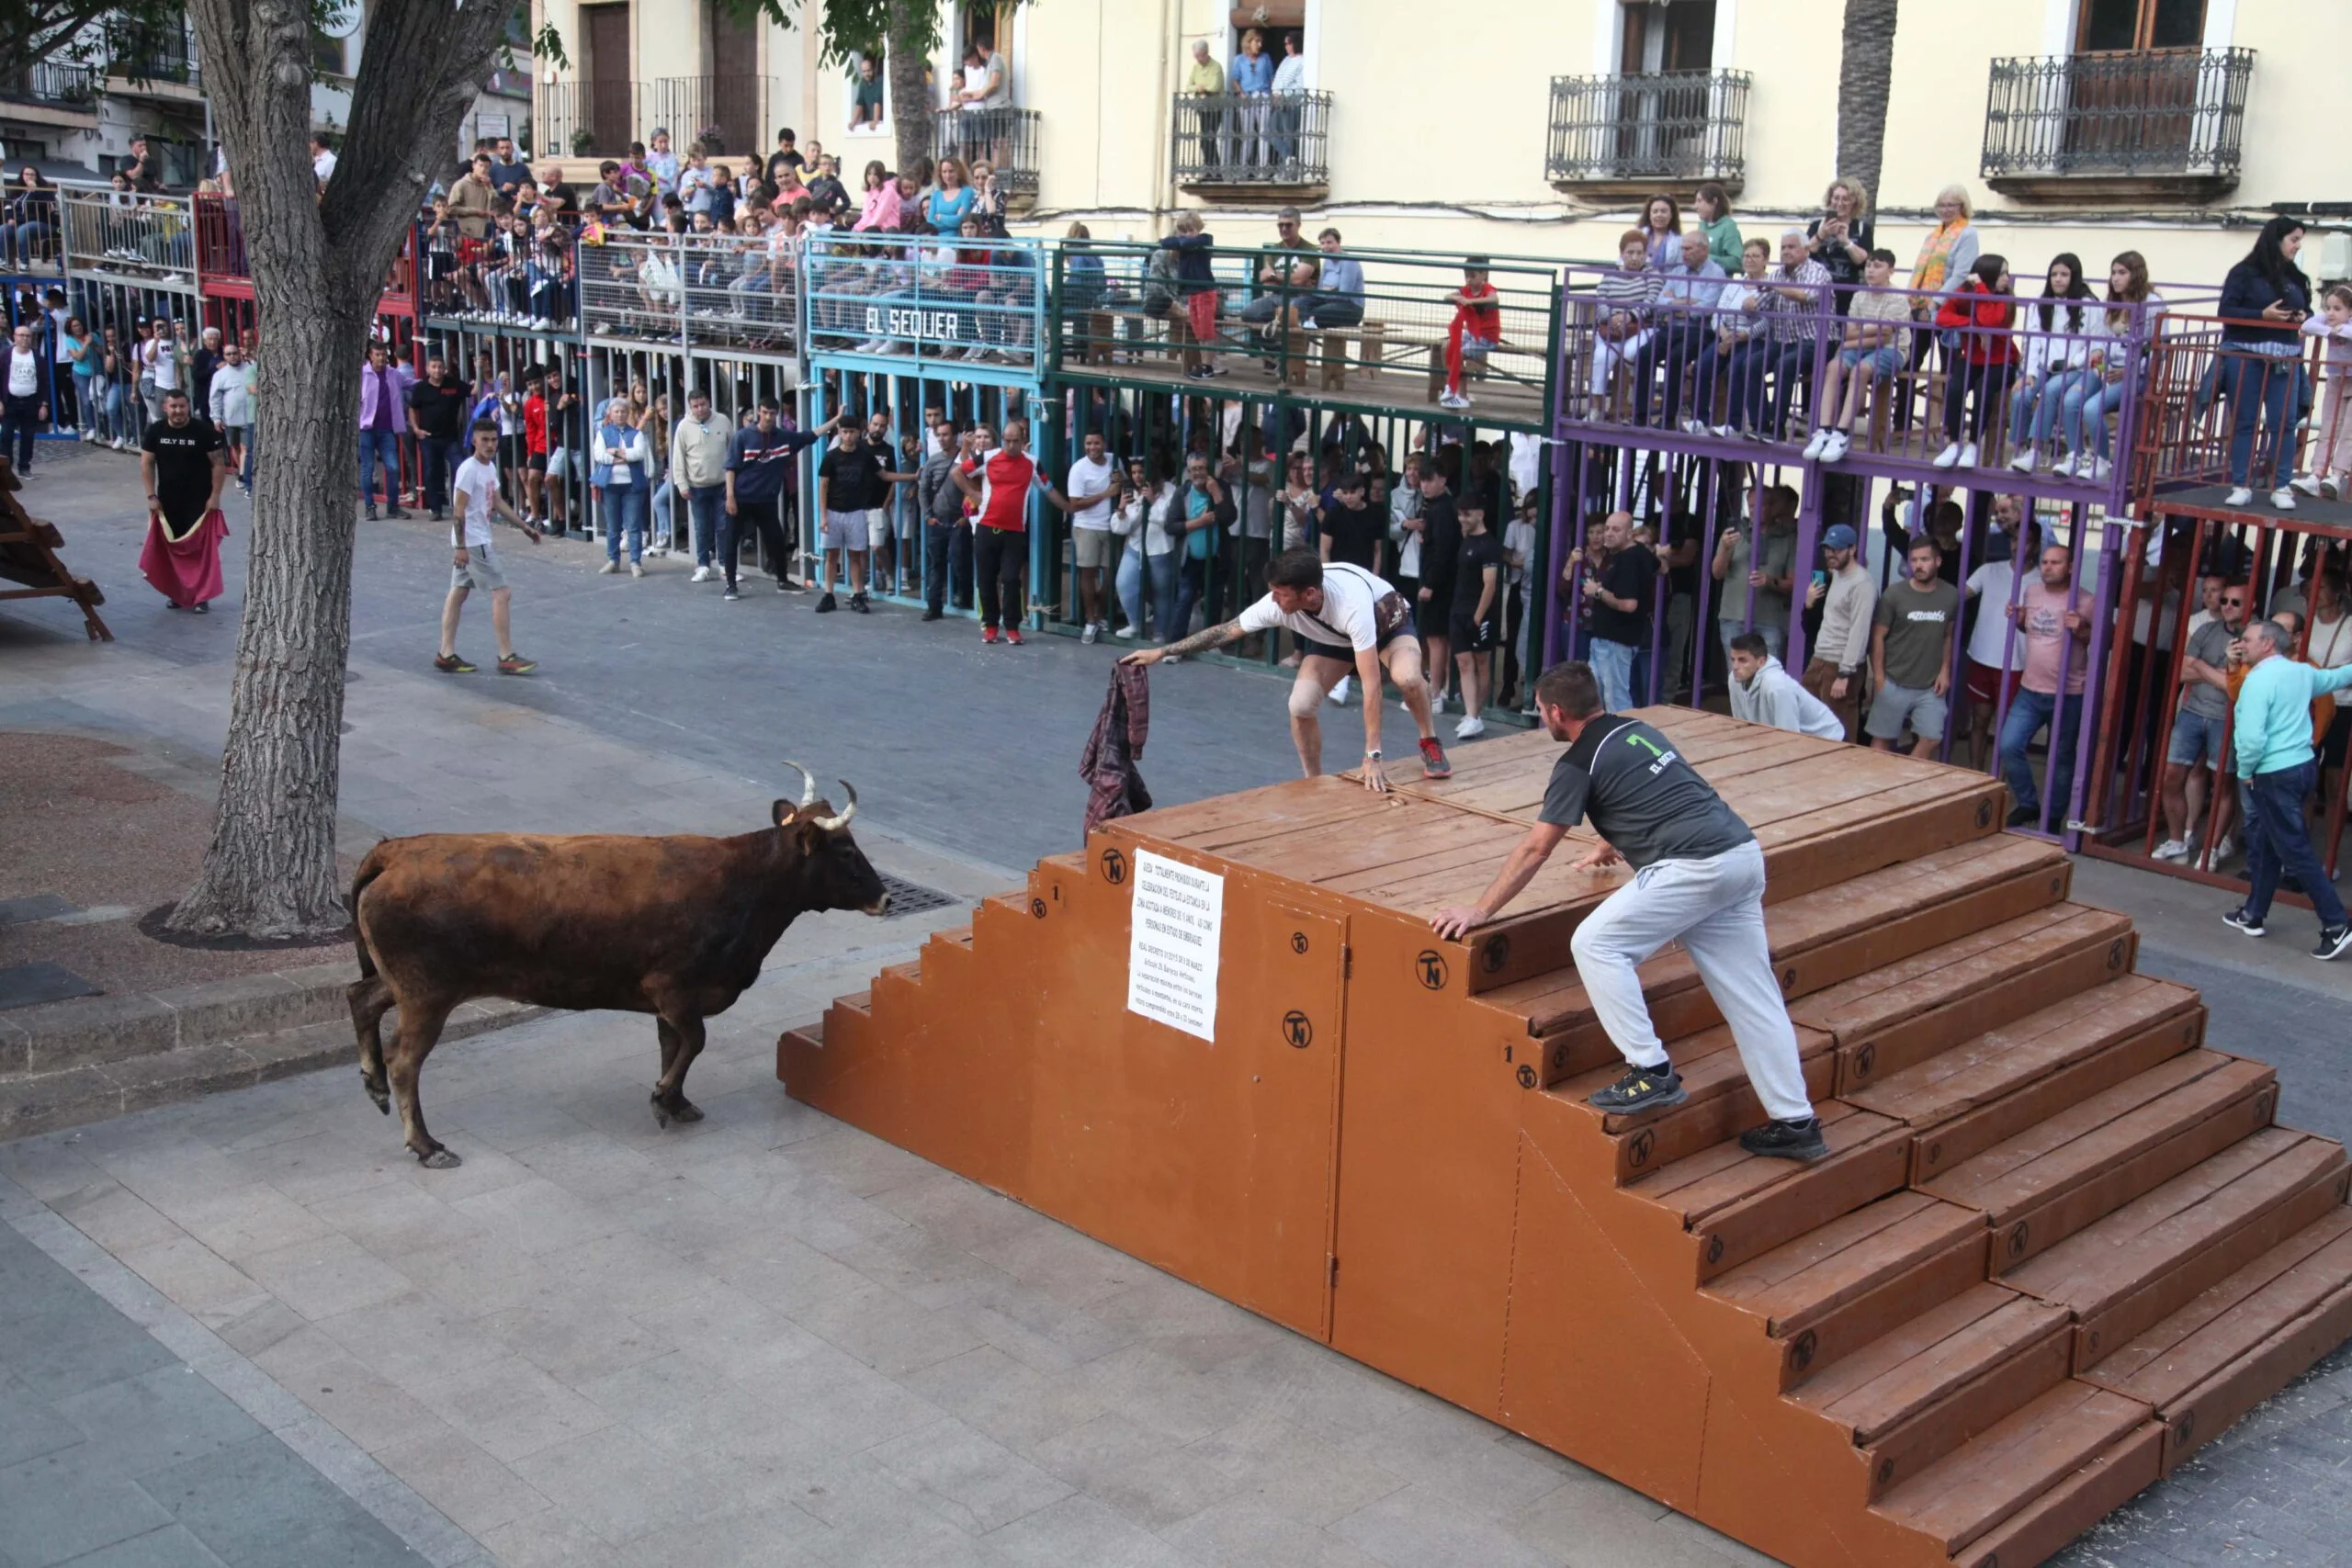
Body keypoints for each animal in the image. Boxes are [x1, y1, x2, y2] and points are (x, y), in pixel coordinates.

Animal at [350, 766, 888, 1170]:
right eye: (845, 849)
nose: (884, 897)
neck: (745, 881)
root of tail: (397, 850)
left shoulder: (671, 1001)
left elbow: (674, 1046)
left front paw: (677, 1101)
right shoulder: (674, 987)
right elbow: (694, 1043)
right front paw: (663, 1097)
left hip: (404, 983)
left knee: (361, 998)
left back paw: (373, 1086)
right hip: (427, 995)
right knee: (405, 1061)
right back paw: (427, 1145)